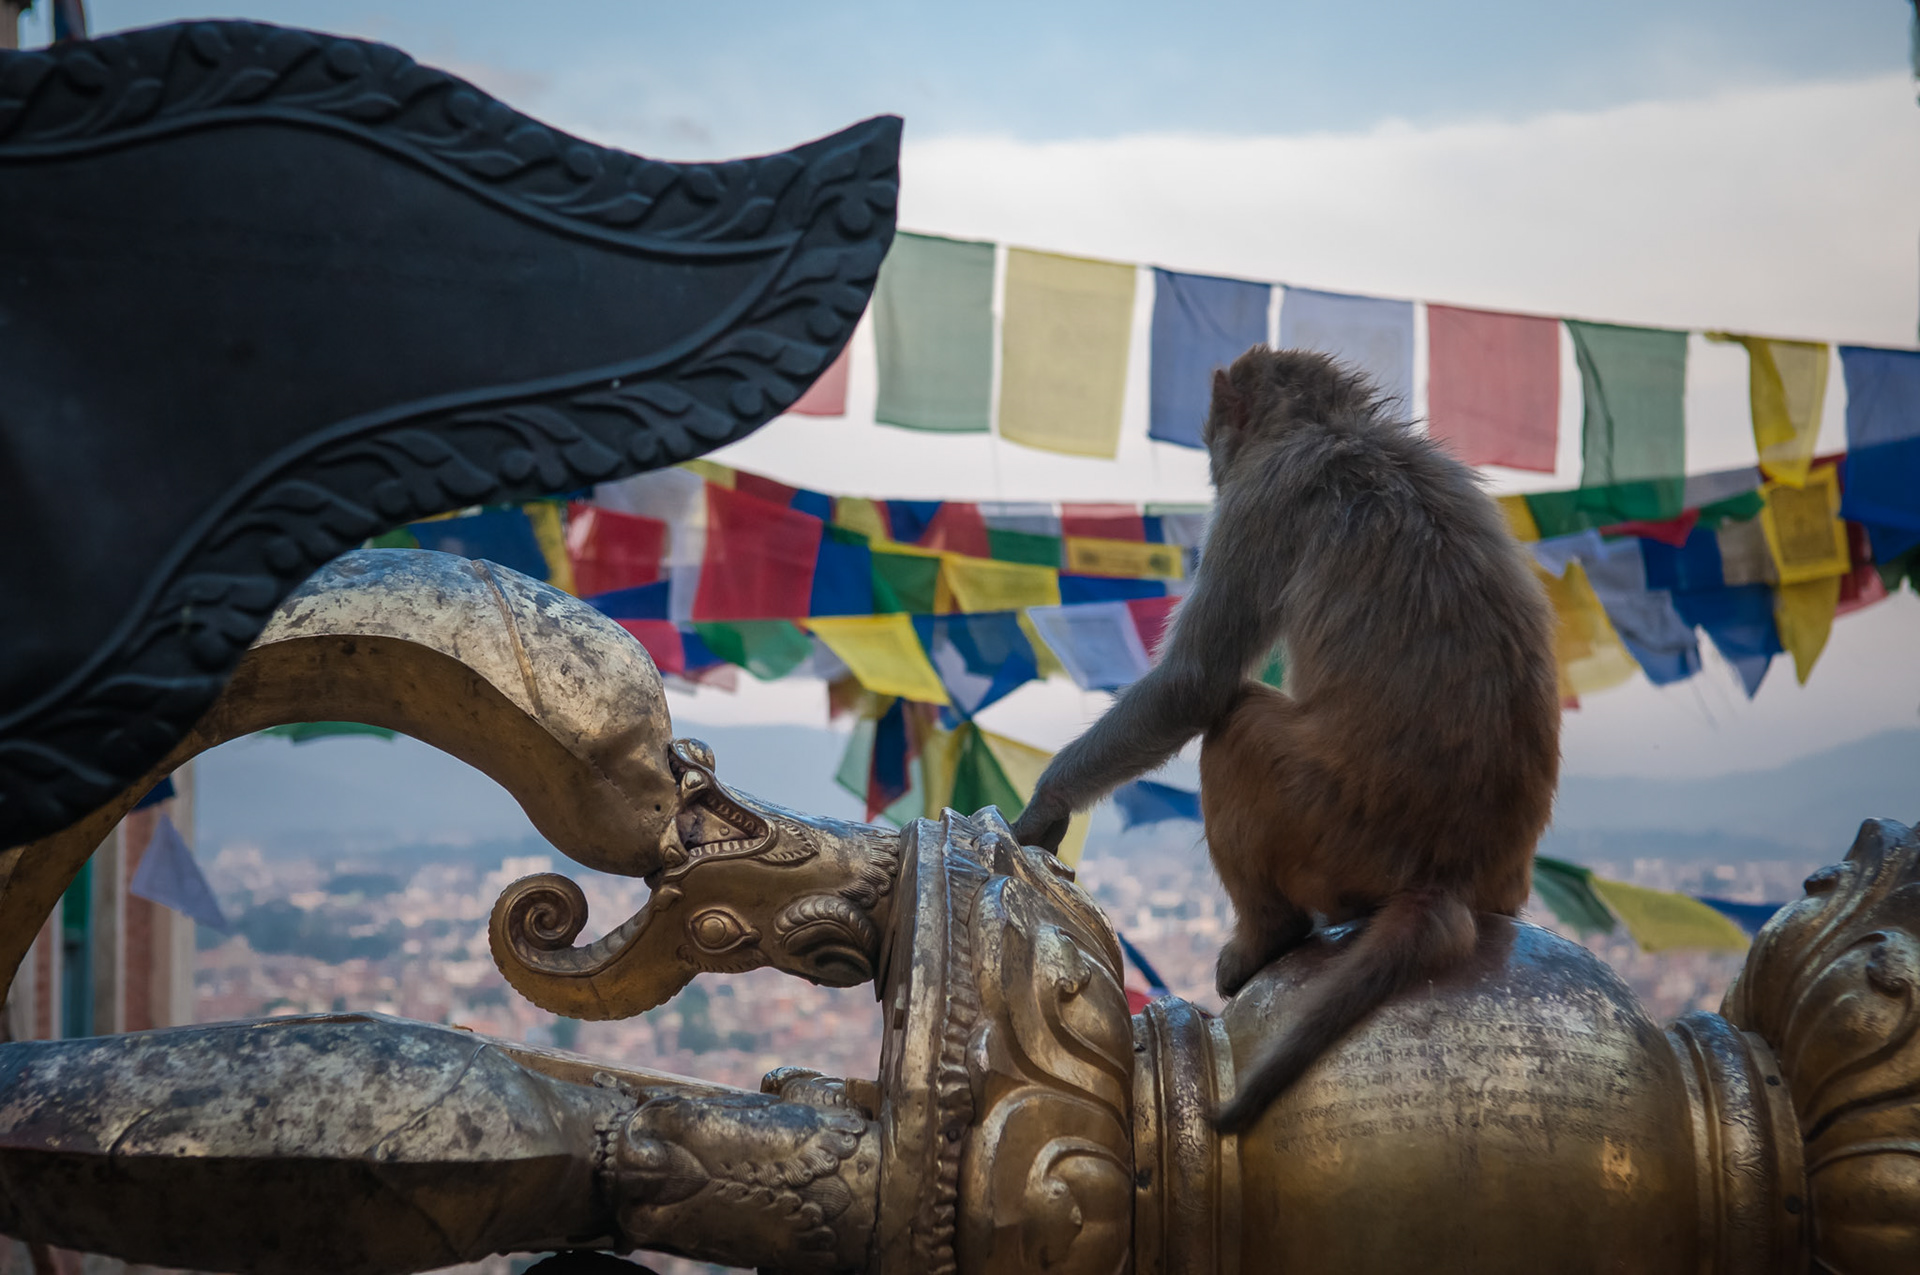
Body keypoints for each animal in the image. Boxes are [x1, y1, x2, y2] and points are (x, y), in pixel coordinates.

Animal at [1009, 346, 1561, 1135]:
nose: (1214, 456)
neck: (1334, 427)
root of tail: (1444, 877)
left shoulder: (1259, 500)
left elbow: (1195, 684)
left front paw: (1048, 801)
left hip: (1325, 827)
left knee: (1237, 724)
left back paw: (1268, 935)